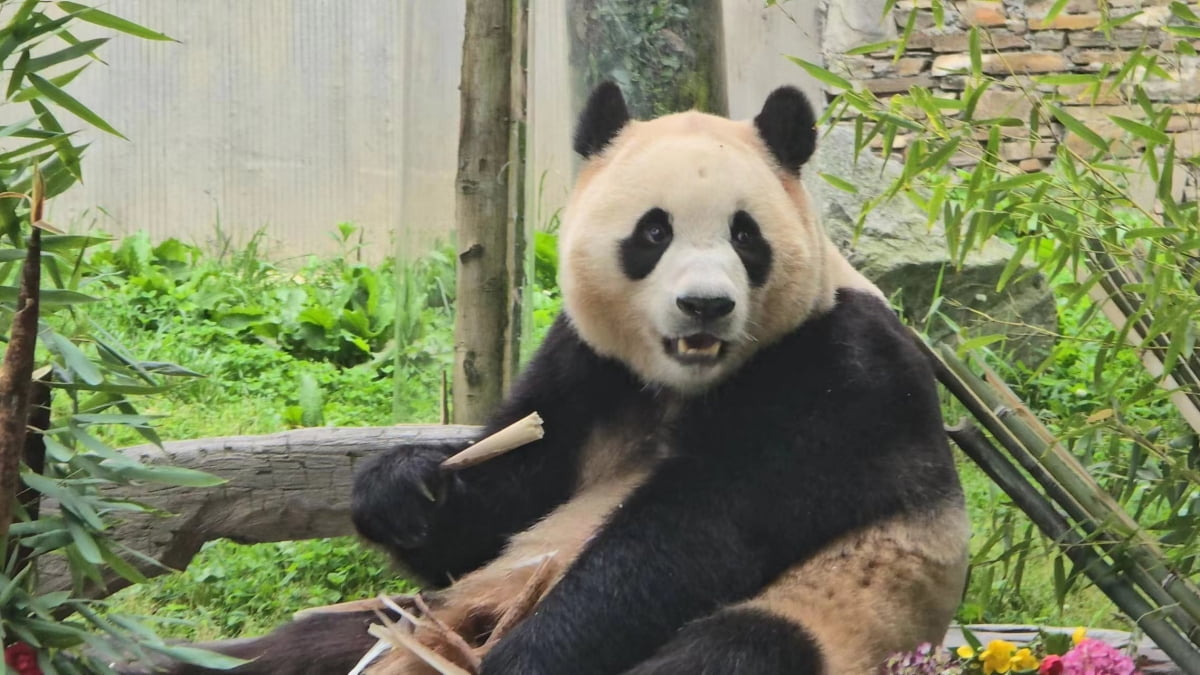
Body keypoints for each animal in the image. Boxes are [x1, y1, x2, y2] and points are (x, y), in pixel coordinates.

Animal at [162, 84, 964, 672]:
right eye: (654, 231)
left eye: (746, 235)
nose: (706, 305)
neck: (684, 382)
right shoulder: (586, 365)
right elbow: (511, 492)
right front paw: (402, 488)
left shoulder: (840, 377)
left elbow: (689, 537)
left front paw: (528, 657)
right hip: (410, 620)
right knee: (300, 645)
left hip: (838, 615)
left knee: (737, 648)